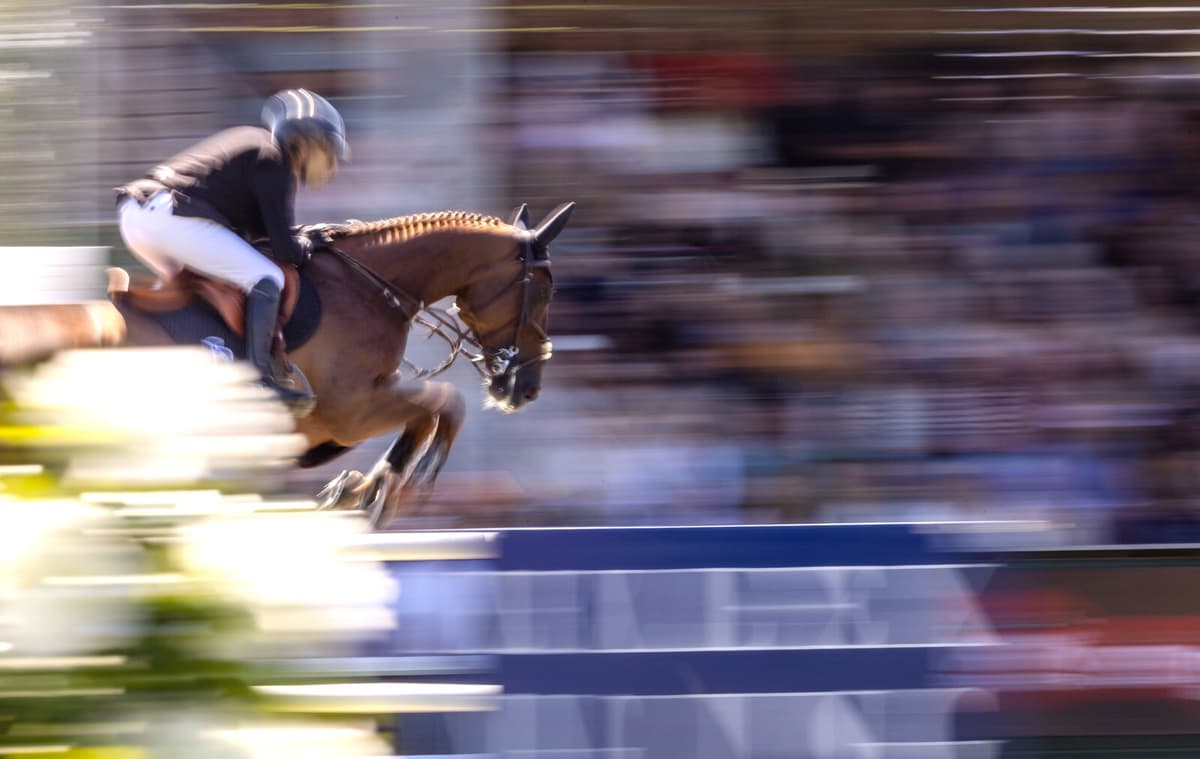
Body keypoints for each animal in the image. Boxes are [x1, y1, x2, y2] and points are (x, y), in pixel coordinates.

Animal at [0, 202, 574, 528]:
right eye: (545, 290)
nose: (526, 388)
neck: (370, 286)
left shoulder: (343, 420)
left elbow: (426, 413)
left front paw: (359, 492)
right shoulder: (352, 411)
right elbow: (444, 404)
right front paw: (387, 492)